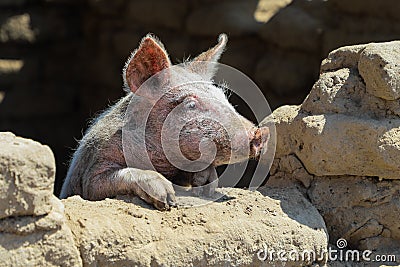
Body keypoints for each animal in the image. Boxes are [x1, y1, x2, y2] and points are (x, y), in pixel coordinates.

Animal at [59, 34, 270, 211]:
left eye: (223, 97)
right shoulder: (92, 171)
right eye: (191, 104)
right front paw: (168, 199)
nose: (261, 132)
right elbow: (100, 183)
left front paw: (206, 184)